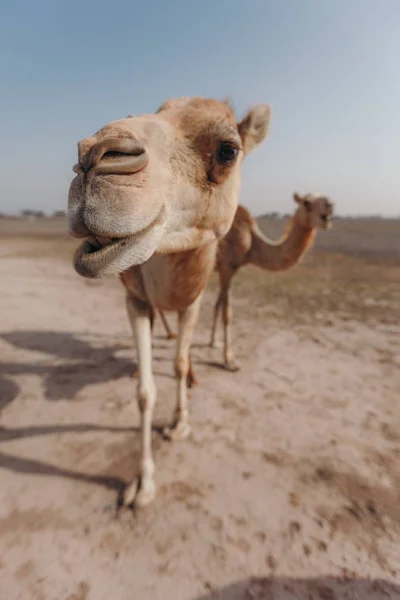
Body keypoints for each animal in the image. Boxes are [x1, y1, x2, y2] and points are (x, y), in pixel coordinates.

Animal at [68, 97, 272, 506]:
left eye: (229, 150)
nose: (91, 157)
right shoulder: (135, 300)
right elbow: (145, 392)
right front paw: (142, 483)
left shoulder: (192, 300)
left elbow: (177, 365)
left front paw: (179, 424)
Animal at [158, 193, 332, 380]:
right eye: (307, 202)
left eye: (325, 200)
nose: (329, 207)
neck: (252, 242)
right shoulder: (227, 266)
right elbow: (227, 313)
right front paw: (230, 360)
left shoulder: (231, 270)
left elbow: (218, 304)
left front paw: (214, 342)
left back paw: (170, 333)